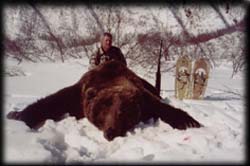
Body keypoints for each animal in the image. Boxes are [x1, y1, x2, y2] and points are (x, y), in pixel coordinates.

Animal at [6, 60, 201, 141]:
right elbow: (51, 102)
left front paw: (191, 122)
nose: (111, 132)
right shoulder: (79, 93)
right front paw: (16, 115)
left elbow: (163, 108)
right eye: (102, 111)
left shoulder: (144, 97)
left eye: (123, 112)